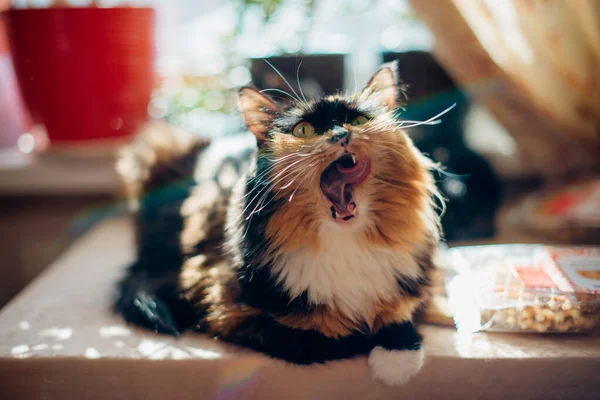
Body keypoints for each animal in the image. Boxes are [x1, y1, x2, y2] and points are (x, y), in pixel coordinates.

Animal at [115, 61, 440, 384]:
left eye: (358, 120)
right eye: (304, 130)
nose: (340, 135)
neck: (343, 242)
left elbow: (401, 314)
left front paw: (396, 358)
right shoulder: (220, 301)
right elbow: (323, 337)